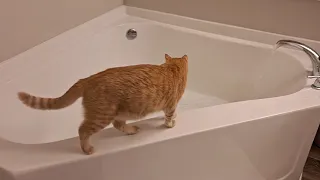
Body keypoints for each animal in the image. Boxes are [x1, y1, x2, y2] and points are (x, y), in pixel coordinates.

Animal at [16, 53, 188, 155]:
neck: (172, 68)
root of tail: (86, 79)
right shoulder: (171, 104)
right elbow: (169, 117)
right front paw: (170, 124)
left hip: (119, 112)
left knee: (118, 125)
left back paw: (131, 130)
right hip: (102, 116)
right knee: (82, 130)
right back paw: (87, 149)